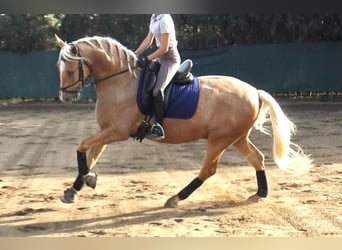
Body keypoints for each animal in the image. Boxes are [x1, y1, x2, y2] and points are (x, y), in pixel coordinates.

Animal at [55, 34, 312, 207]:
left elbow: (82, 147)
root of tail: (254, 92)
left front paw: (87, 180)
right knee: (257, 158)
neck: (120, 81)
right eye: (59, 67)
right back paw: (260, 193)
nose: (65, 97)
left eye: (70, 70)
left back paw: (176, 198)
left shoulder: (117, 132)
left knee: (208, 169)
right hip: (237, 137)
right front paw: (75, 188)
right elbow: (89, 155)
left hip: (220, 139)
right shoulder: (105, 131)